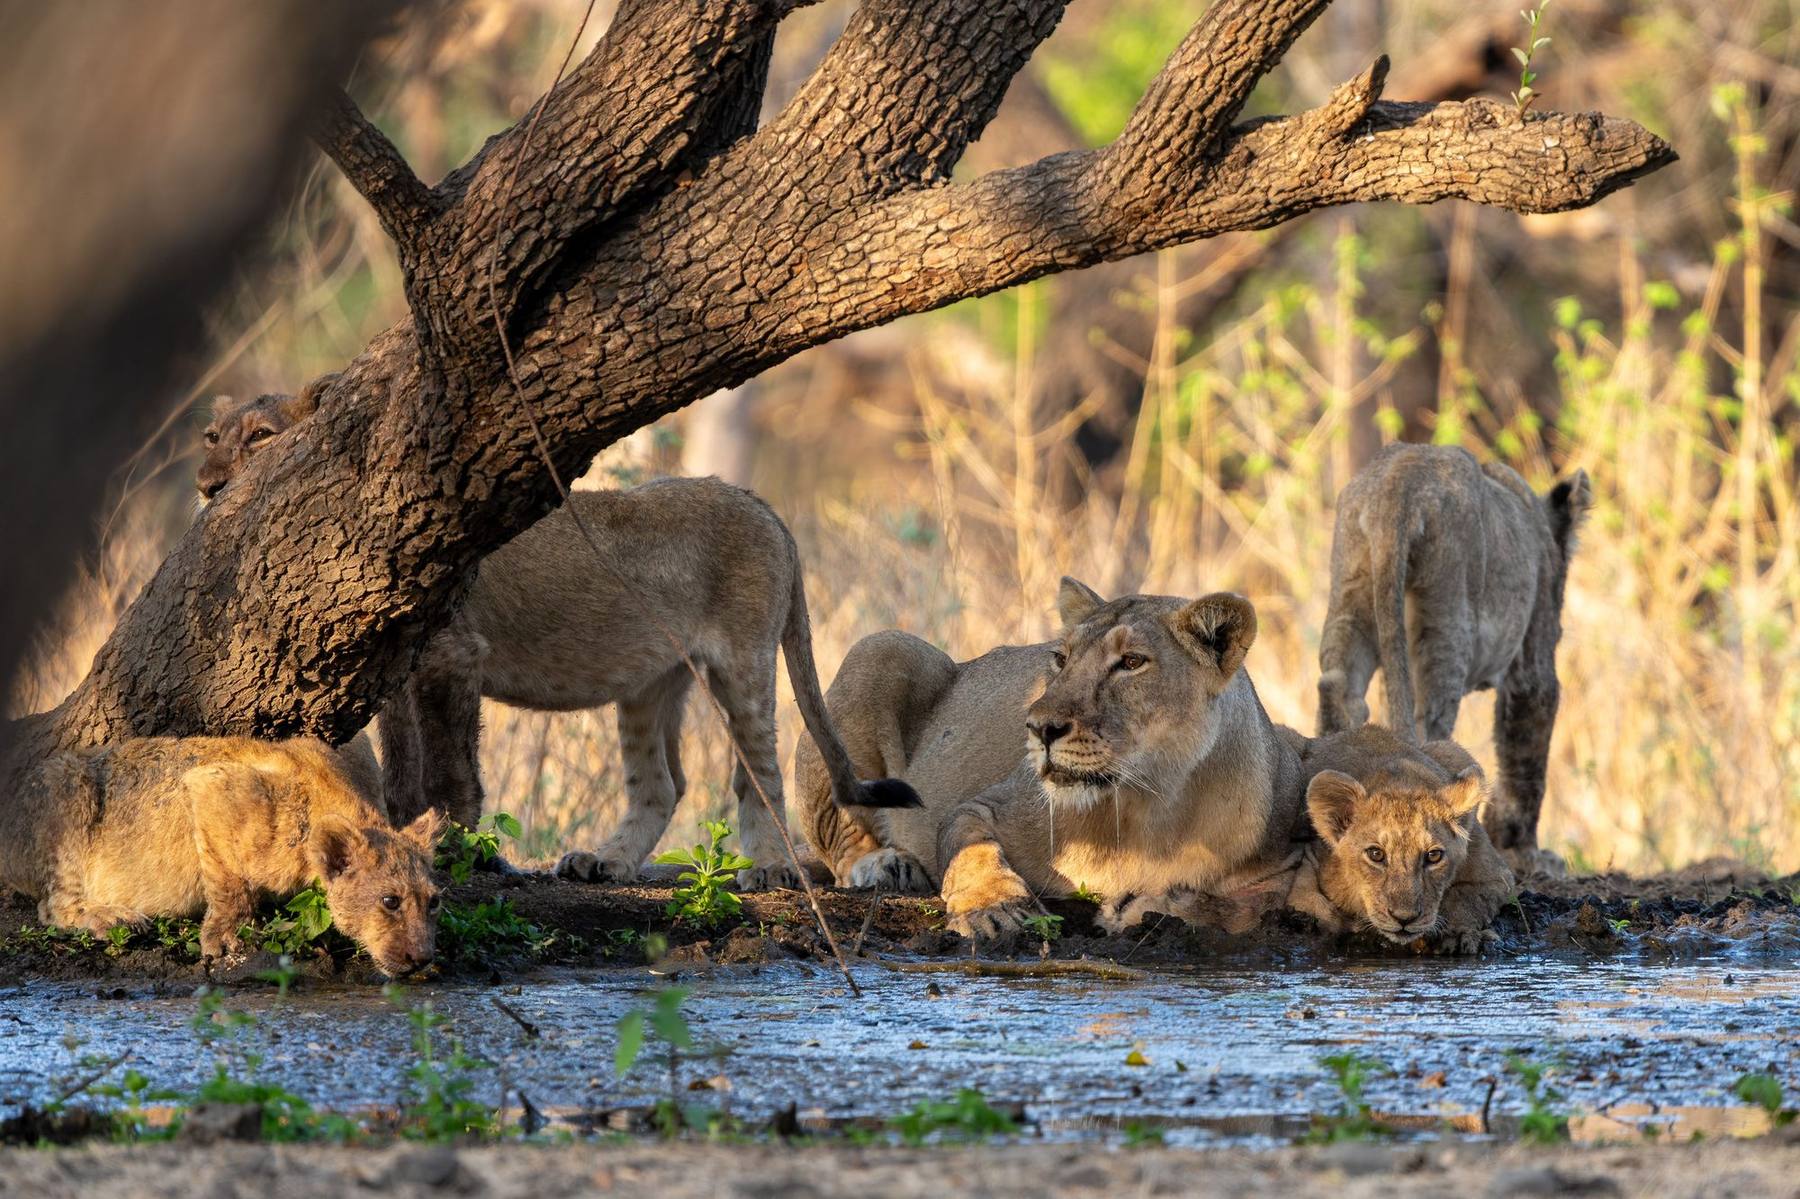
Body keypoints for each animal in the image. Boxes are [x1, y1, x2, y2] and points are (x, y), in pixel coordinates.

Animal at [0, 736, 443, 976]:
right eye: (390, 901)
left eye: (434, 903)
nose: (422, 958)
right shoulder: (211, 785)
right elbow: (229, 879)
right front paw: (229, 937)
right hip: (67, 784)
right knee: (52, 906)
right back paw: (114, 918)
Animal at [198, 383, 916, 890]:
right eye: (210, 437)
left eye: (261, 438)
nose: (208, 487)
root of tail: (759, 501)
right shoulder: (399, 677)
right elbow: (402, 777)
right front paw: (400, 841)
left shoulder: (453, 657)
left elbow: (453, 774)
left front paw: (455, 853)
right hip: (651, 680)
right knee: (661, 784)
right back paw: (605, 863)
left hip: (742, 661)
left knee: (754, 772)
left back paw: (768, 868)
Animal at [796, 579, 1311, 946]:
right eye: (1061, 658)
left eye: (1131, 662)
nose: (1039, 726)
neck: (1147, 805)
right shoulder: (985, 805)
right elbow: (971, 850)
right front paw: (996, 910)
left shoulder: (1281, 859)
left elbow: (1238, 907)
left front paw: (1140, 907)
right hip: (880, 648)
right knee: (842, 844)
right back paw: (886, 866)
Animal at [1286, 724, 1515, 953]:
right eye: (1376, 854)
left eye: (1434, 856)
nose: (1404, 918)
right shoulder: (1308, 861)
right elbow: (1313, 903)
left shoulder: (1496, 877)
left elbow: (1466, 898)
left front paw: (1458, 934)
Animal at [1314, 443, 1591, 870]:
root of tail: (1398, 483)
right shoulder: (1533, 652)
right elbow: (1527, 751)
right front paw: (1524, 851)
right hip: (1447, 616)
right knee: (1427, 722)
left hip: (1352, 587)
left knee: (1338, 686)